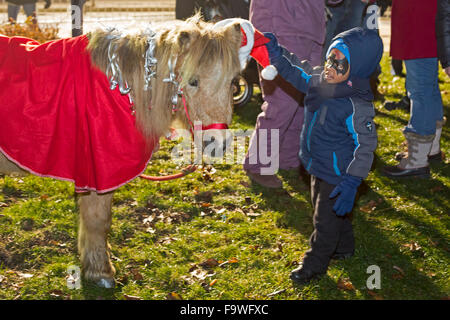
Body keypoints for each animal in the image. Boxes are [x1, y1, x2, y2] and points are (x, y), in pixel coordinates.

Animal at [0, 15, 248, 288]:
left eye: (233, 83)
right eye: (193, 81)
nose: (218, 144)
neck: (120, 89)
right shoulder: (96, 175)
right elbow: (98, 219)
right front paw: (101, 272)